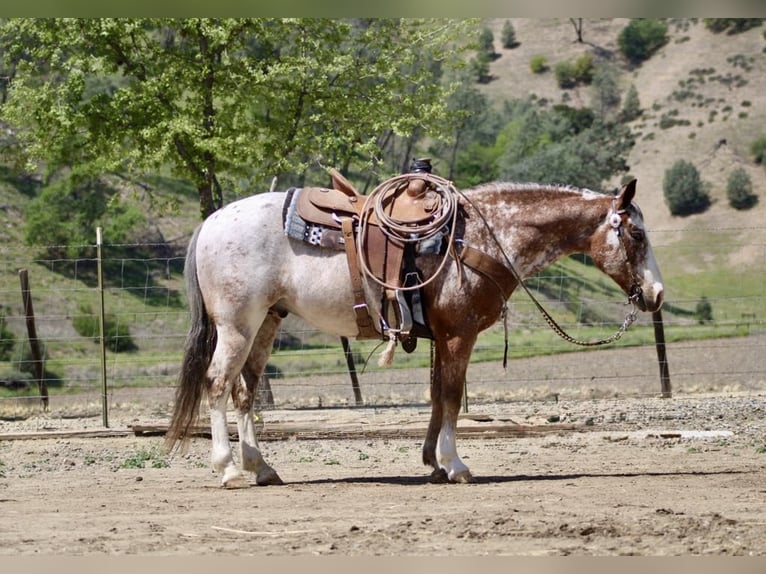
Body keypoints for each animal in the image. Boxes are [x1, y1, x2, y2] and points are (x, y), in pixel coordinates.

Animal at [164, 178, 664, 487]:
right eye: (637, 235)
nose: (657, 294)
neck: (480, 237)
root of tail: (209, 223)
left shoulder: (442, 337)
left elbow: (438, 395)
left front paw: (433, 462)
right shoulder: (460, 334)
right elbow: (452, 395)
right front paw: (455, 464)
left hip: (267, 321)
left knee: (245, 390)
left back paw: (262, 467)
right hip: (236, 324)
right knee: (218, 384)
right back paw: (229, 470)